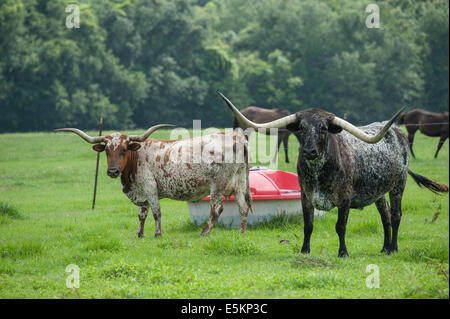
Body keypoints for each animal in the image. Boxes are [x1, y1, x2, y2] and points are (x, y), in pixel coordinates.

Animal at [55, 125, 253, 238]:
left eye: (124, 149)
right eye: (106, 151)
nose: (112, 171)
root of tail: (237, 138)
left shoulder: (150, 188)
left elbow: (156, 212)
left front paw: (158, 233)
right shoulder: (142, 191)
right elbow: (142, 214)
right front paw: (139, 234)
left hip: (217, 186)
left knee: (216, 209)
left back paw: (204, 233)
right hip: (241, 182)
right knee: (243, 207)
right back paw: (241, 232)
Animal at [220, 92, 448, 258]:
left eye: (323, 128)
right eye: (301, 128)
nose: (310, 151)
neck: (318, 171)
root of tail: (397, 131)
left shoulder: (345, 198)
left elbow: (340, 226)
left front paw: (343, 252)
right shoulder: (306, 196)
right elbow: (308, 225)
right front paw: (305, 250)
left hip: (398, 184)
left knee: (397, 215)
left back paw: (393, 248)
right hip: (379, 192)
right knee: (386, 216)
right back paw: (384, 248)